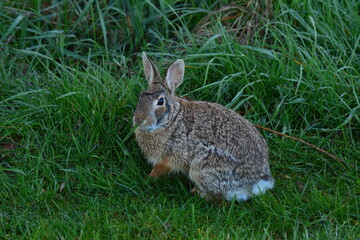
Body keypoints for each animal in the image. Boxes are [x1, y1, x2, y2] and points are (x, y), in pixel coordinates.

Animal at [134, 52, 274, 201]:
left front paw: (148, 179)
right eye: (141, 95)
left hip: (201, 169)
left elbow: (159, 169)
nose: (138, 120)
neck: (170, 119)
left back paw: (197, 192)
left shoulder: (169, 158)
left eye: (160, 101)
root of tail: (260, 181)